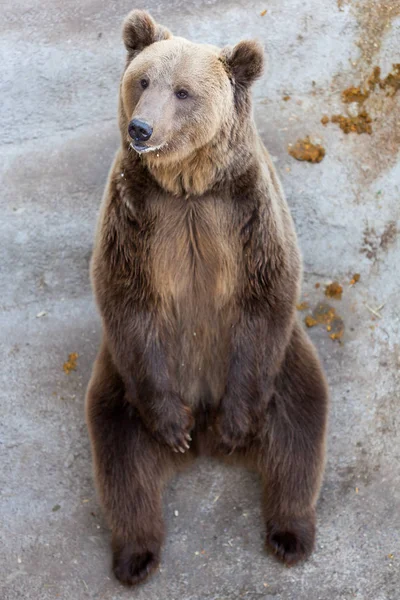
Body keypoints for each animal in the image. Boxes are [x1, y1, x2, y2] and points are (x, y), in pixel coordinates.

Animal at [85, 9, 328, 588]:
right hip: (121, 385)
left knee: (299, 431)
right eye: (142, 80)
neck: (187, 185)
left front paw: (238, 427)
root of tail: (204, 426)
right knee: (121, 458)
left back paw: (289, 533)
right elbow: (125, 299)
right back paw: (135, 554)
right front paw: (171, 429)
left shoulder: (246, 211)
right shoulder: (137, 217)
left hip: (284, 367)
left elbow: (269, 291)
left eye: (183, 91)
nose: (141, 129)